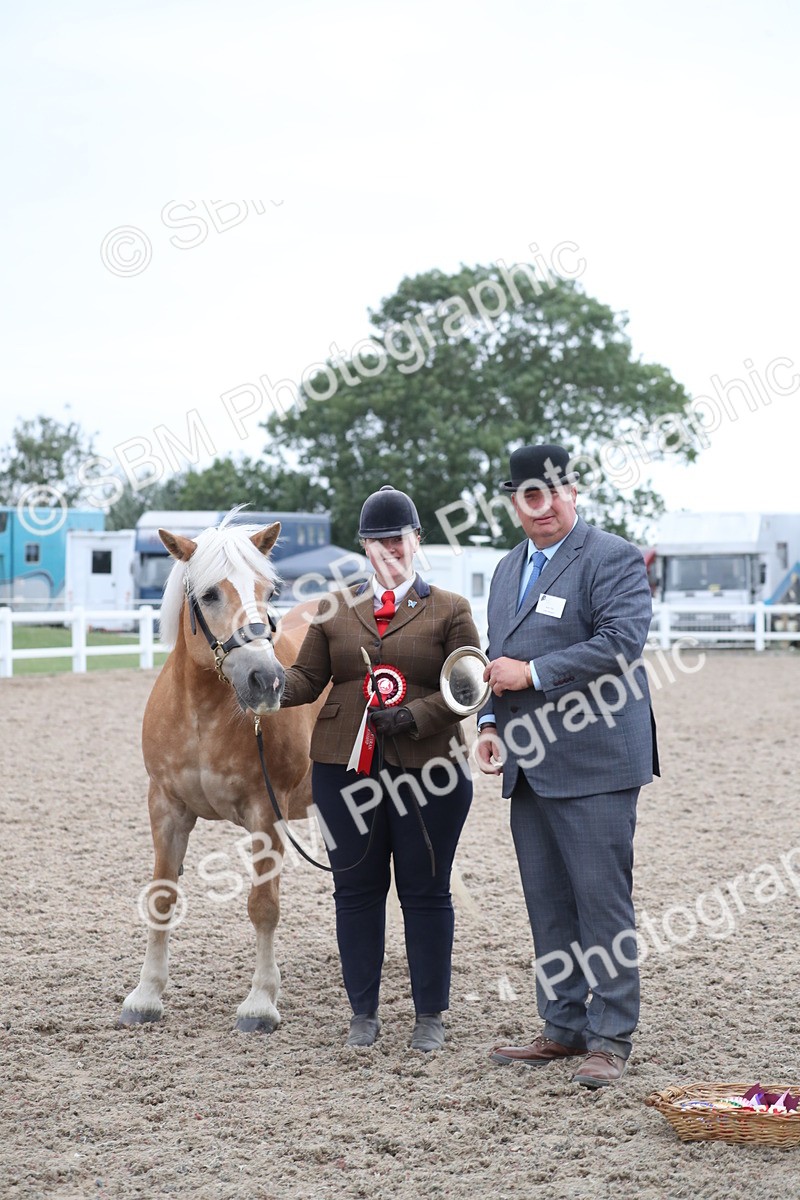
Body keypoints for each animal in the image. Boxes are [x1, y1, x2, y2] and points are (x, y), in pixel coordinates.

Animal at [118, 512, 326, 1032]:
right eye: (210, 594)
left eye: (270, 590)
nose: (266, 681)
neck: (204, 715)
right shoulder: (166, 808)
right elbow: (162, 897)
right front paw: (146, 995)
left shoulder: (266, 814)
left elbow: (263, 905)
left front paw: (260, 1002)